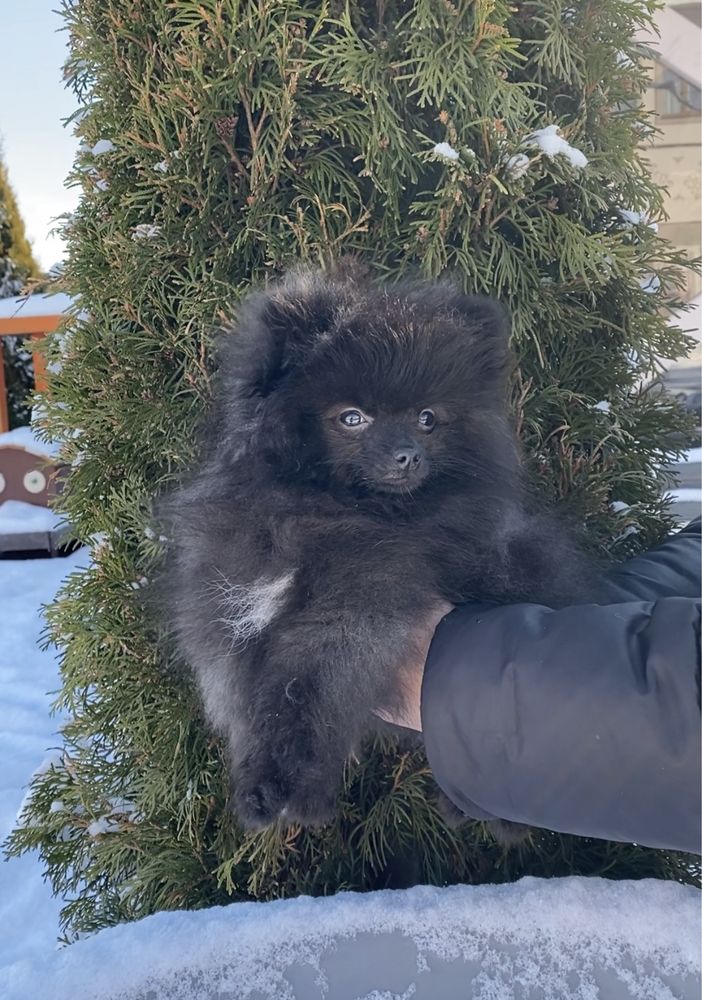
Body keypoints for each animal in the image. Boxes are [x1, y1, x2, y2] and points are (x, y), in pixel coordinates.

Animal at [165, 262, 592, 832]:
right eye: (353, 417)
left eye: (427, 418)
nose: (407, 455)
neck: (330, 517)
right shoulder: (230, 608)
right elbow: (249, 705)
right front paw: (269, 785)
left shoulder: (356, 611)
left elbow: (302, 693)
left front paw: (286, 783)